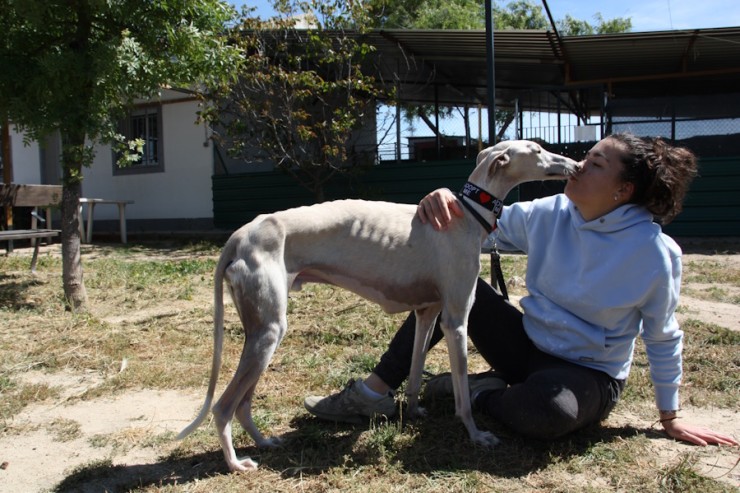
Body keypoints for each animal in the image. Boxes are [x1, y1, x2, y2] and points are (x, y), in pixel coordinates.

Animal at [178, 140, 580, 470]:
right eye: (538, 150)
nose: (575, 164)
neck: (465, 216)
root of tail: (239, 236)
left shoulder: (427, 312)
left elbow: (415, 372)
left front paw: (414, 411)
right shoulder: (456, 320)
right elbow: (463, 395)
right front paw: (476, 435)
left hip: (261, 332)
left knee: (243, 404)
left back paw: (264, 443)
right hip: (269, 330)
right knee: (224, 405)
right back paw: (235, 463)